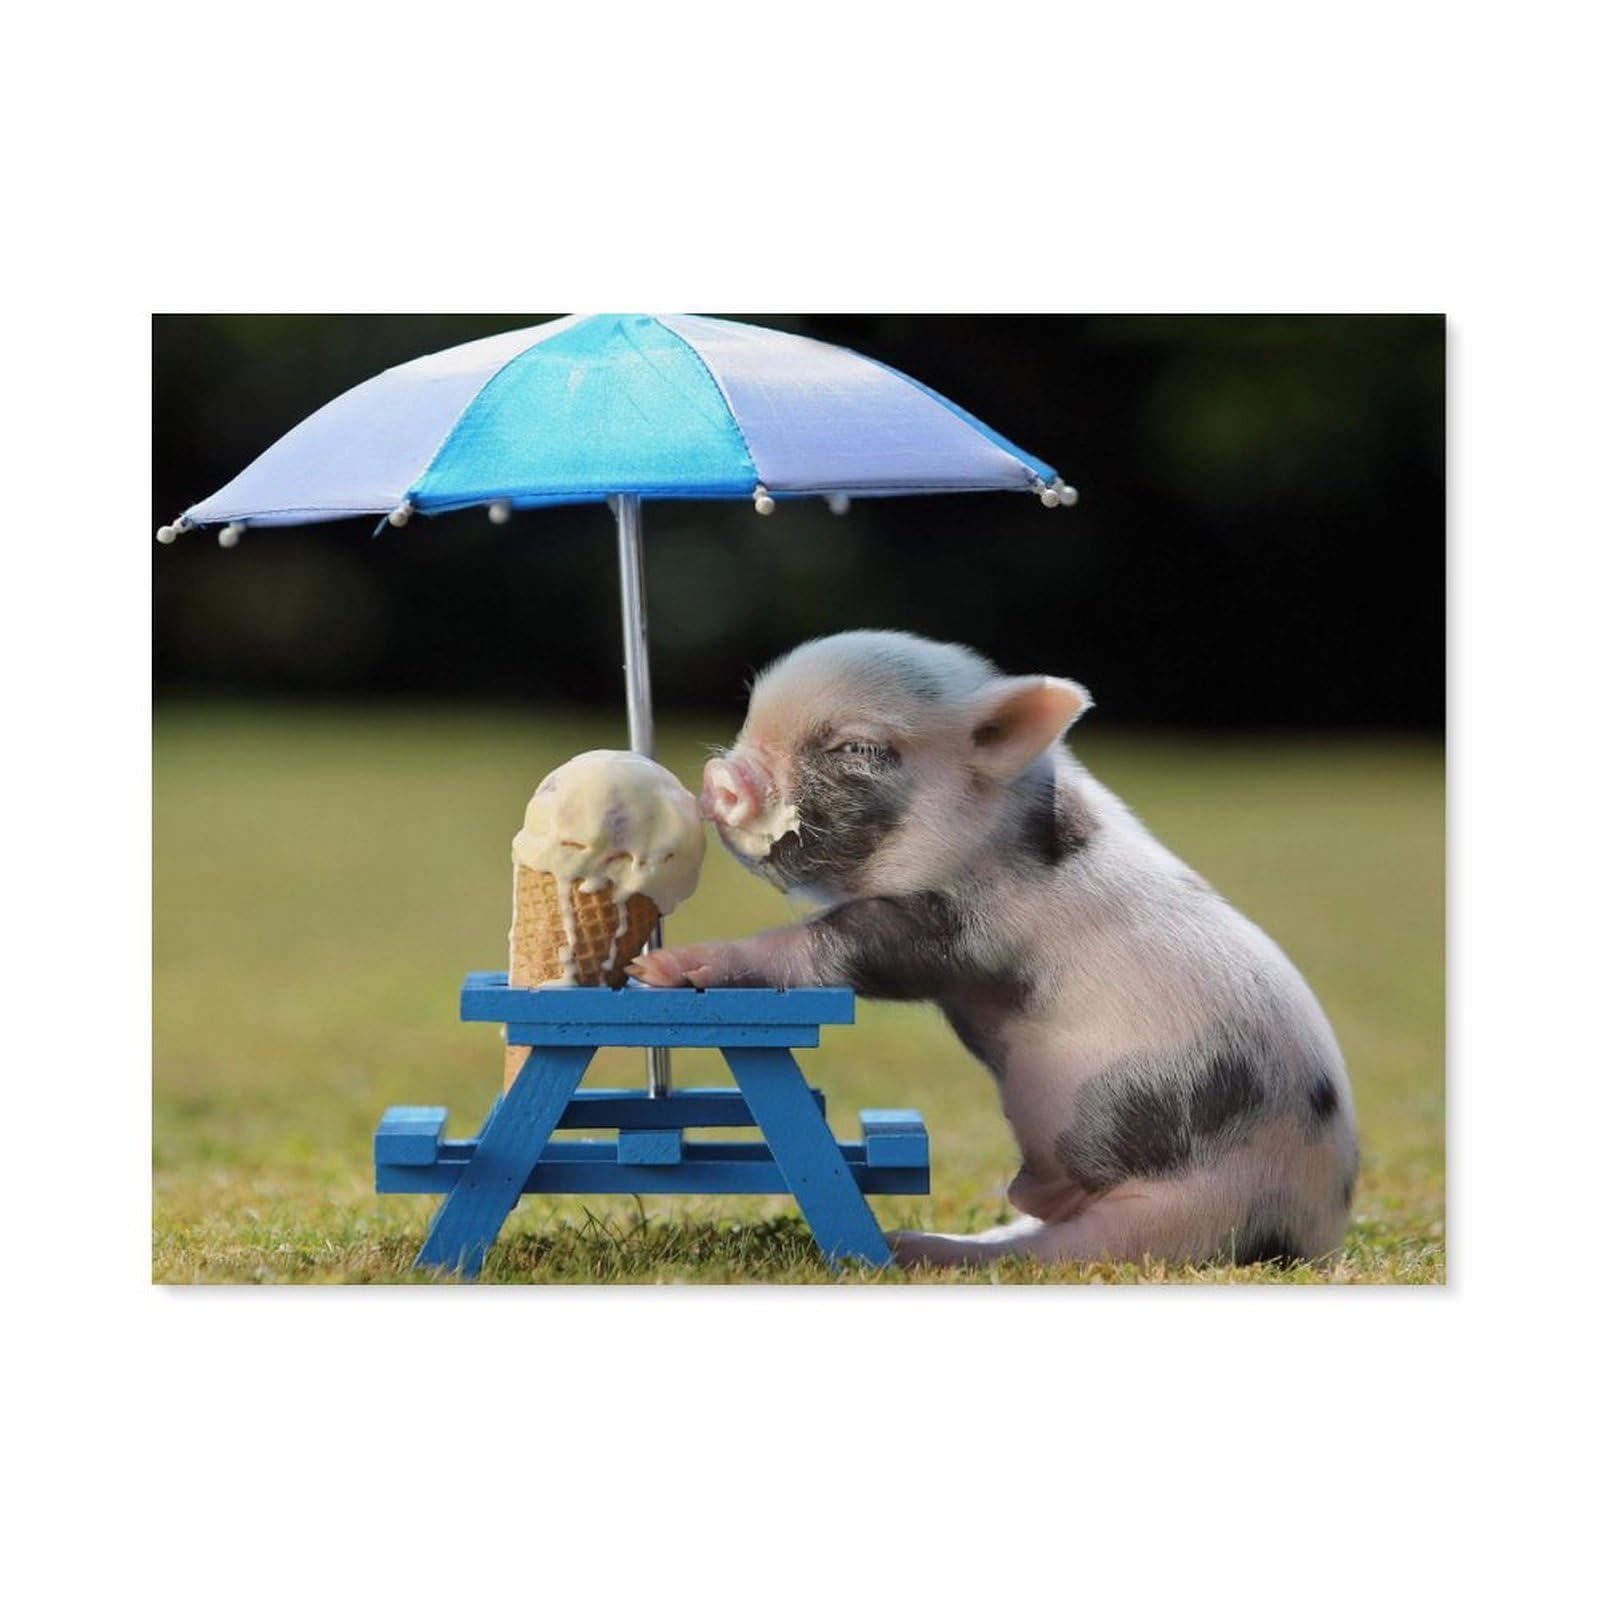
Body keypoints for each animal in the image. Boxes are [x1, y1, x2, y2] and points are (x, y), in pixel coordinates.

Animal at [629, 630, 1358, 1270]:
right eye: (750, 717)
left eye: (858, 746)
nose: (721, 778)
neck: (992, 832)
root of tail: (1315, 1230)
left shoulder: (961, 932)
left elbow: (835, 946)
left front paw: (666, 967)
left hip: (1184, 1213)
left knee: (1049, 1252)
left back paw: (905, 1248)